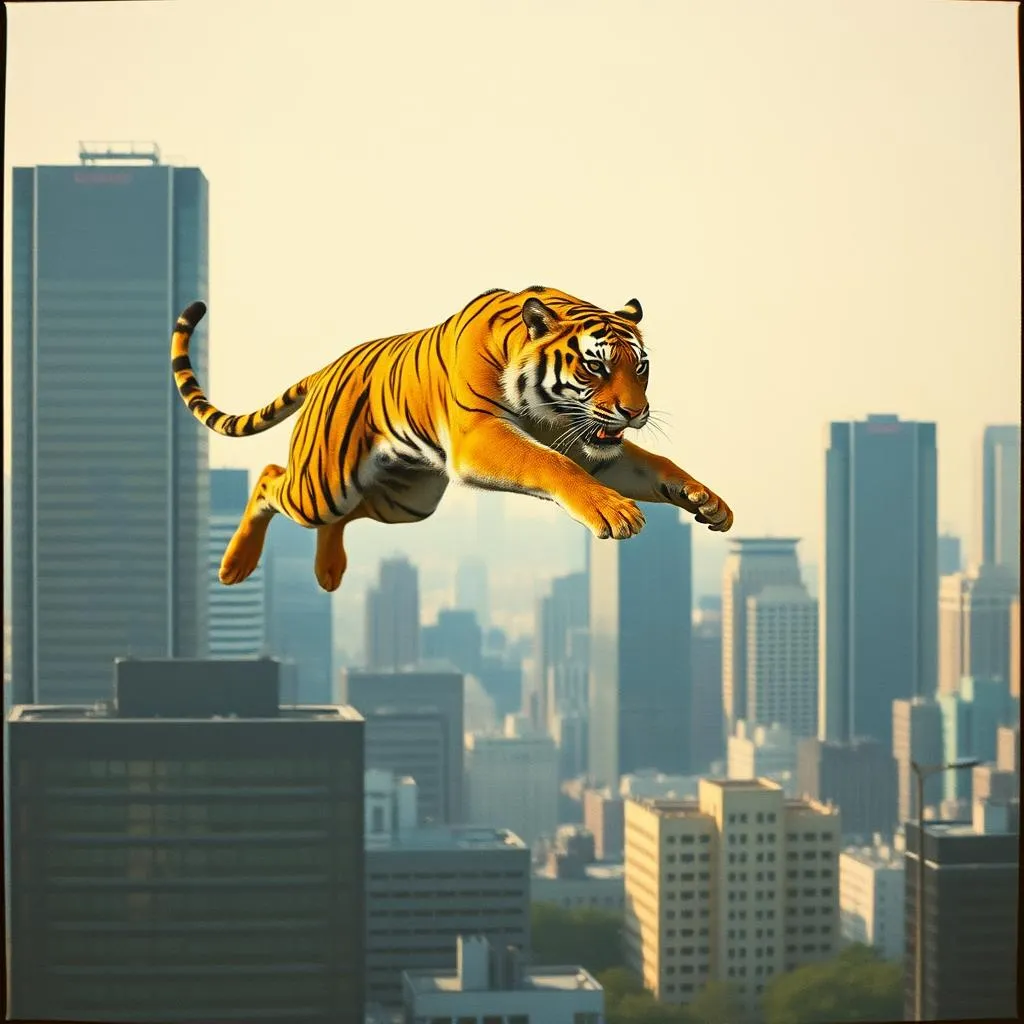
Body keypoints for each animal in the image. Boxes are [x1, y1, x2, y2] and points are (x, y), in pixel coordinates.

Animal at [170, 285, 733, 593]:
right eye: (596, 367)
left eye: (640, 368)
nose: (634, 412)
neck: (550, 409)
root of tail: (325, 369)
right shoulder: (481, 436)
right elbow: (551, 464)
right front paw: (612, 511)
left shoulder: (588, 445)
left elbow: (656, 464)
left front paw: (707, 500)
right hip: (322, 484)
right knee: (269, 479)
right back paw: (234, 566)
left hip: (407, 500)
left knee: (343, 516)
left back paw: (329, 570)